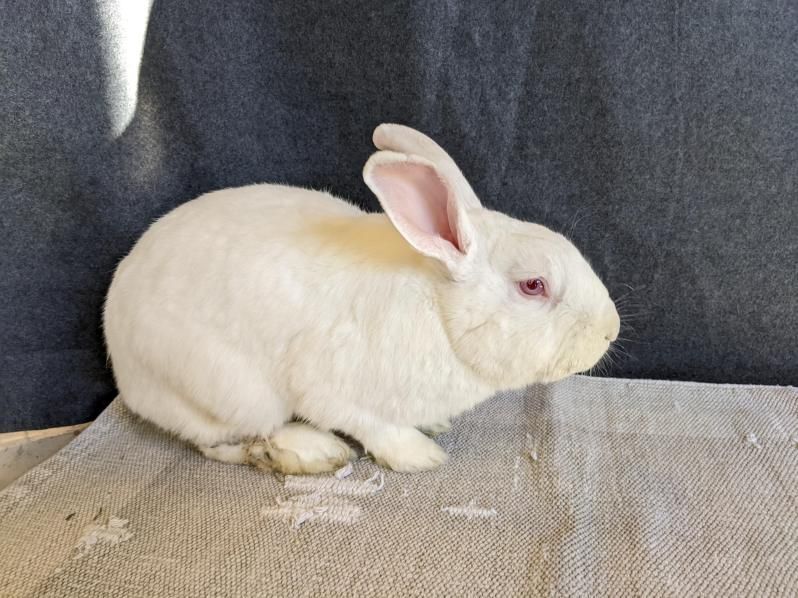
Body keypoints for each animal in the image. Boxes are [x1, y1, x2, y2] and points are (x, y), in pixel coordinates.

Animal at [103, 124, 620, 474]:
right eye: (534, 285)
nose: (609, 331)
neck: (440, 313)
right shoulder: (333, 388)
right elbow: (374, 426)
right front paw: (421, 455)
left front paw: (434, 427)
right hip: (226, 392)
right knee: (227, 441)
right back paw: (310, 452)